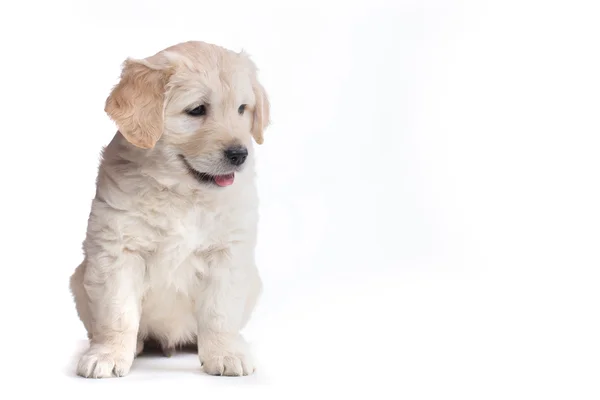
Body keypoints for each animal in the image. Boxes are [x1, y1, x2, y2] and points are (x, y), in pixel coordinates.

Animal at [68, 40, 270, 378]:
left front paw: (225, 353)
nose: (239, 154)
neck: (182, 193)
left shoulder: (228, 253)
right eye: (197, 110)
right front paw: (109, 354)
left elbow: (220, 313)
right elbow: (117, 313)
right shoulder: (117, 251)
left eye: (243, 109)